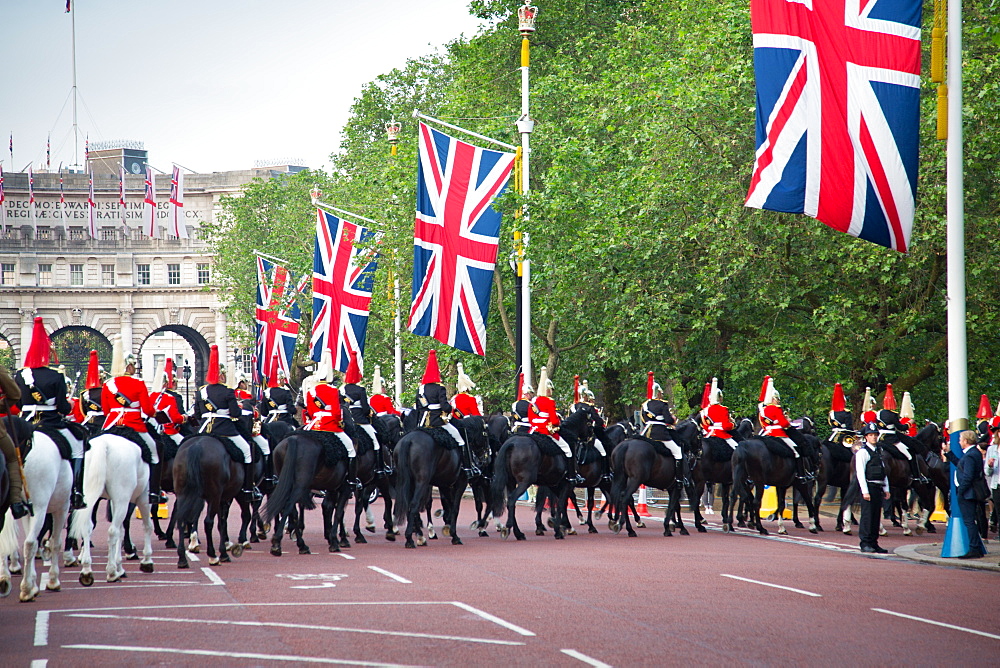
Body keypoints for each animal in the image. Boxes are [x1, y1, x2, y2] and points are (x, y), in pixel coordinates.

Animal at [0, 430, 72, 604]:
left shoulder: (27, 512)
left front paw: (34, 582)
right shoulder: (61, 507)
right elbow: (55, 543)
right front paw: (52, 581)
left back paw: (5, 579)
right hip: (40, 507)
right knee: (30, 543)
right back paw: (26, 589)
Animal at [70, 434, 155, 584]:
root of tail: (103, 444)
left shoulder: (114, 502)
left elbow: (122, 531)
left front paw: (120, 566)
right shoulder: (143, 498)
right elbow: (147, 526)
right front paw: (146, 561)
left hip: (92, 498)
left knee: (87, 527)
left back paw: (86, 570)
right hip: (124, 500)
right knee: (112, 531)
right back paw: (111, 572)